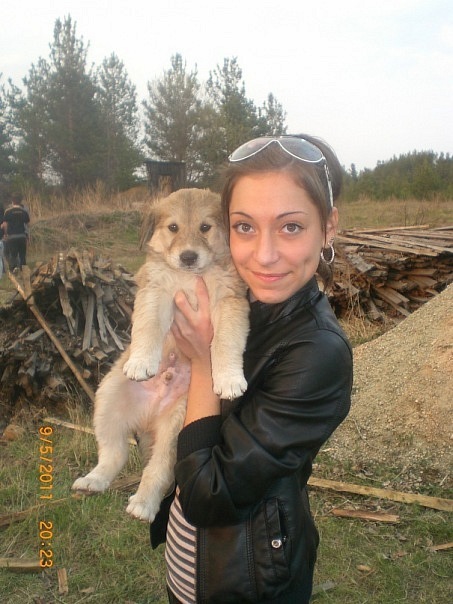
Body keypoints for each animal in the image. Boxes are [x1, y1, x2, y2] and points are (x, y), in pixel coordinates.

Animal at [72, 188, 249, 522]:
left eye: (205, 227)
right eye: (173, 228)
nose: (188, 257)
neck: (190, 278)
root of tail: (148, 417)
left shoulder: (230, 301)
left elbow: (225, 341)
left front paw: (230, 379)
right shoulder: (156, 292)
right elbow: (149, 326)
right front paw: (142, 362)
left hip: (175, 429)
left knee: (158, 469)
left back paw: (142, 504)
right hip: (107, 399)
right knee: (114, 453)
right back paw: (93, 480)